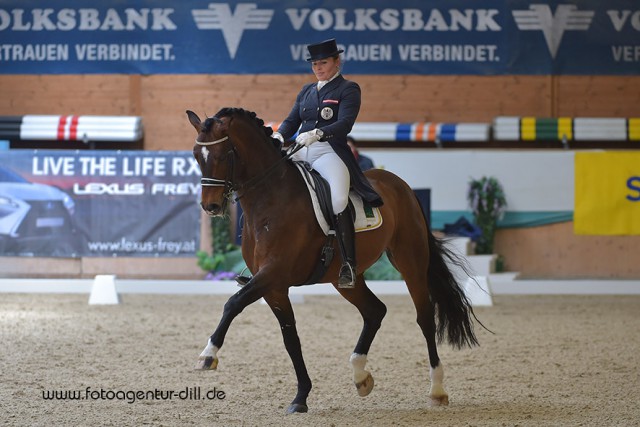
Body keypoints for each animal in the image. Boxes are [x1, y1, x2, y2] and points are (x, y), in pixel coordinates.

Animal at [188, 107, 478, 414]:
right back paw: (361, 376)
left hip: (410, 261)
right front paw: (301, 397)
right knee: (375, 311)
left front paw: (207, 355)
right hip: (346, 279)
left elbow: (233, 304)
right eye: (196, 155)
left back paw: (437, 390)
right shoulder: (274, 286)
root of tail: (402, 185)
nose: (211, 206)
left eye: (222, 156)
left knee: (424, 318)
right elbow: (291, 339)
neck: (271, 199)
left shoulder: (273, 273)